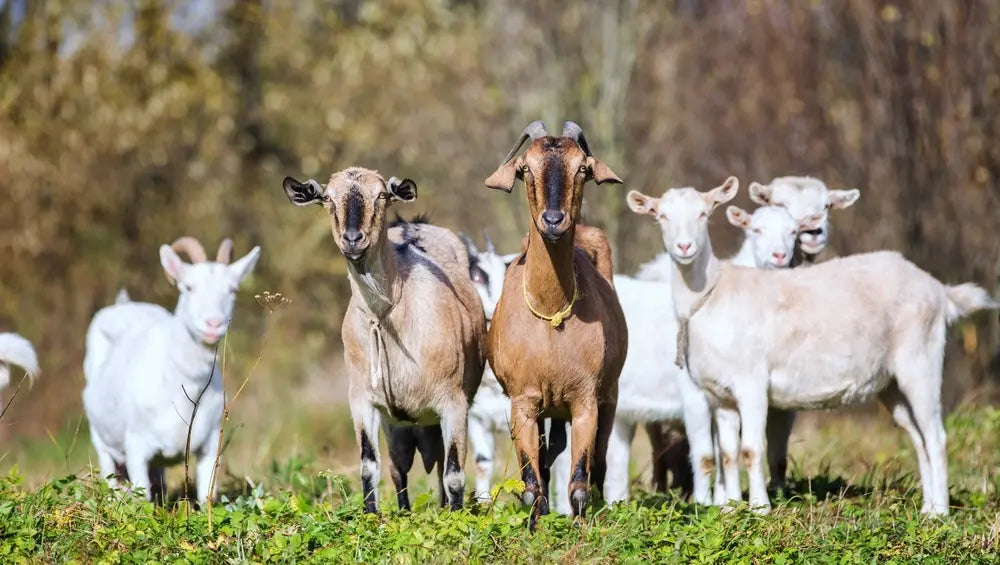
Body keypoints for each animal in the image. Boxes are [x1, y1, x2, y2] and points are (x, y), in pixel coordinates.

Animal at [83, 236, 262, 500]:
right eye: (188, 287)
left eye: (233, 290)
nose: (213, 324)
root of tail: (123, 305)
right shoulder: (136, 446)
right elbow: (143, 498)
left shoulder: (210, 446)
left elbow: (206, 496)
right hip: (101, 440)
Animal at [282, 166, 484, 512]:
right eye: (327, 198)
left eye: (380, 195)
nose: (353, 239)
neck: (389, 316)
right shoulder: (363, 400)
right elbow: (369, 466)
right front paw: (371, 515)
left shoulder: (454, 403)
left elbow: (455, 474)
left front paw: (456, 518)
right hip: (398, 426)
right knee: (398, 468)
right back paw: (404, 511)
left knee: (441, 467)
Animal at [482, 121, 624, 528]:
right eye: (526, 168)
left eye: (582, 168)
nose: (553, 221)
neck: (551, 315)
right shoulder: (523, 402)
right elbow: (532, 481)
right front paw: (535, 527)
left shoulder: (585, 400)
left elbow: (579, 479)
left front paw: (580, 527)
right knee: (547, 461)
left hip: (608, 397)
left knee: (599, 464)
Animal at [628, 178, 996, 512]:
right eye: (661, 216)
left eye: (704, 214)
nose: (684, 248)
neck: (713, 294)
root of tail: (938, 289)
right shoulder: (721, 395)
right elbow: (729, 454)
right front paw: (730, 509)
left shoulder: (752, 382)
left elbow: (751, 449)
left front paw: (759, 509)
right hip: (891, 383)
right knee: (918, 437)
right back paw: (927, 510)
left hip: (921, 360)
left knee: (936, 437)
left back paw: (942, 513)